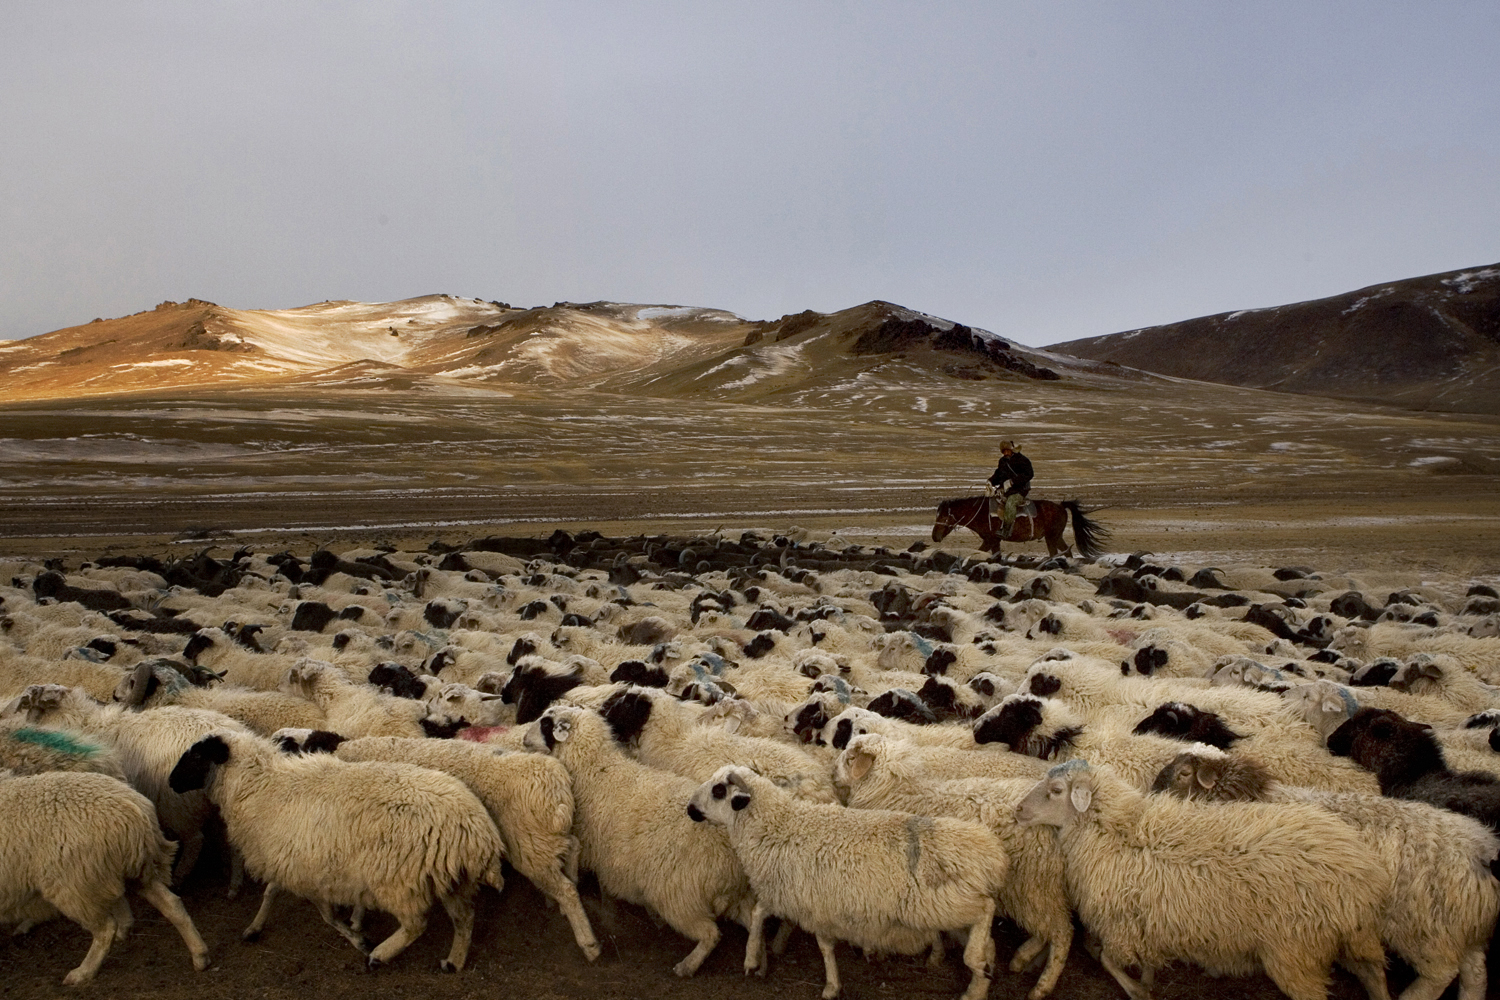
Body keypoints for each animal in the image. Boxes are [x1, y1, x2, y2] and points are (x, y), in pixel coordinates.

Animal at [522, 704, 756, 977]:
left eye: (546, 723)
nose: (524, 739)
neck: (595, 769)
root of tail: (731, 863)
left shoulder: (604, 853)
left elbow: (603, 885)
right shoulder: (610, 855)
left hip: (679, 896)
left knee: (711, 934)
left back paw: (687, 965)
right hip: (733, 898)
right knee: (753, 919)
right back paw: (757, 960)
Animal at [690, 767, 1008, 1000]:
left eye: (718, 791)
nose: (690, 809)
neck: (778, 826)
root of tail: (990, 853)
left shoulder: (813, 905)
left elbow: (824, 947)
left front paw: (830, 986)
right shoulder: (787, 891)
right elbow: (758, 914)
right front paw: (752, 958)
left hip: (943, 905)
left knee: (986, 909)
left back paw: (975, 962)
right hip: (953, 912)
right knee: (990, 943)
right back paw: (977, 987)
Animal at [930, 497, 1110, 560]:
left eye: (943, 517)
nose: (934, 536)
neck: (981, 512)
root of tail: (1060, 506)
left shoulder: (990, 540)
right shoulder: (994, 542)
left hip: (1051, 537)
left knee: (1056, 553)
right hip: (1056, 536)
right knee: (1066, 551)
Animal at [1014, 761, 1386, 1000]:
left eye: (1056, 790)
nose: (1018, 810)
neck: (1115, 831)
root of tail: (1356, 869)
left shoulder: (1122, 924)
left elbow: (1106, 959)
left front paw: (1138, 990)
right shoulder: (1148, 922)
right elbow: (1139, 960)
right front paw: (1148, 981)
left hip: (1296, 951)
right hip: (1356, 936)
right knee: (1376, 974)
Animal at [1158, 749, 1500, 1000]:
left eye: (1183, 774)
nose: (1154, 797)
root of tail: (1480, 849)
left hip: (1423, 927)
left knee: (1441, 972)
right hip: (1462, 925)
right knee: (1475, 972)